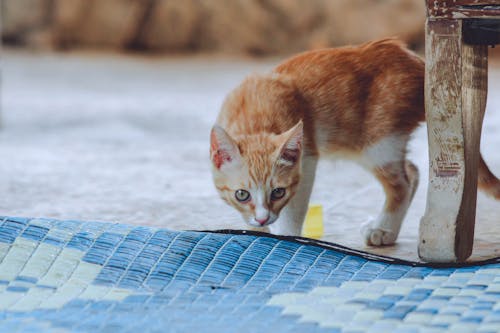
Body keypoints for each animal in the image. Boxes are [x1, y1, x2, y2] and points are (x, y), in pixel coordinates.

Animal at [208, 39, 500, 246]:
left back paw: (383, 228)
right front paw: (254, 230)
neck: (256, 117)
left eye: (278, 192)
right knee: (413, 171)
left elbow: (293, 211)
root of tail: (419, 62)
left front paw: (285, 239)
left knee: (401, 184)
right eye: (242, 195)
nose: (262, 218)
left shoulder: (307, 157)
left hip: (377, 143)